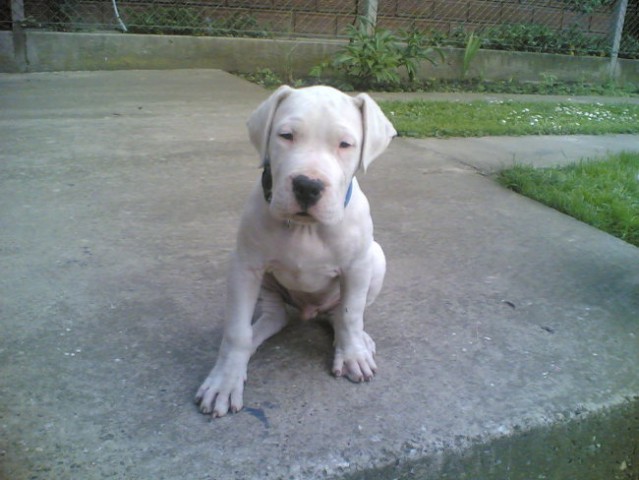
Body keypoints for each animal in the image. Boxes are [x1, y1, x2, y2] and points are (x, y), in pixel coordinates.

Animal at [196, 85, 396, 416]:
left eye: (345, 144)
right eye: (286, 135)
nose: (307, 186)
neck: (306, 228)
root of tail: (308, 311)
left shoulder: (357, 267)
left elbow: (351, 314)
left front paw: (353, 355)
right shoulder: (244, 267)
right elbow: (236, 331)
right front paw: (224, 381)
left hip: (376, 258)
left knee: (339, 316)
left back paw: (356, 343)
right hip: (266, 285)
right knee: (274, 318)